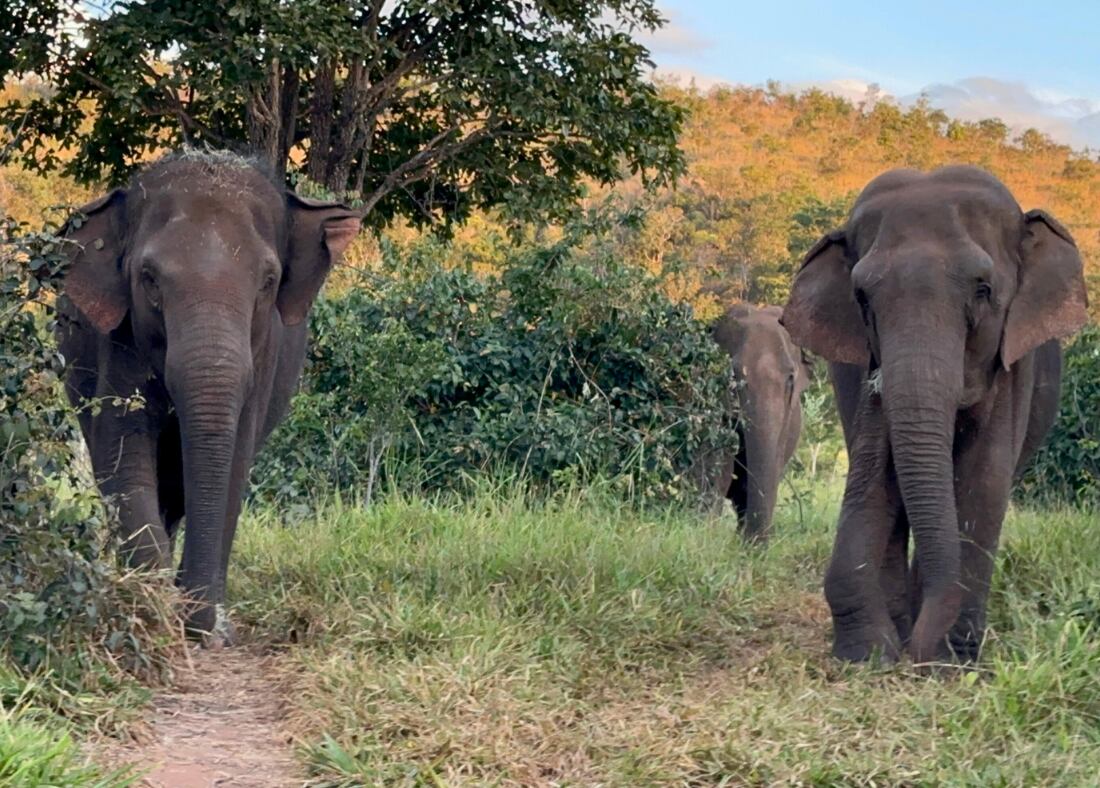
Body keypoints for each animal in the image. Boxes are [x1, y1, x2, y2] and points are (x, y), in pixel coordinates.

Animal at [56, 150, 360, 642]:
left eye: (268, 280)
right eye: (149, 278)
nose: (193, 623)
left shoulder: (264, 353)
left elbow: (233, 464)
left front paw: (209, 626)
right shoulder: (119, 339)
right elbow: (124, 454)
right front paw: (152, 605)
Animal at [783, 165, 1091, 664]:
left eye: (984, 290)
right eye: (862, 298)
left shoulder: (1012, 359)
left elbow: (984, 475)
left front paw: (946, 661)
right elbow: (884, 477)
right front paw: (871, 655)